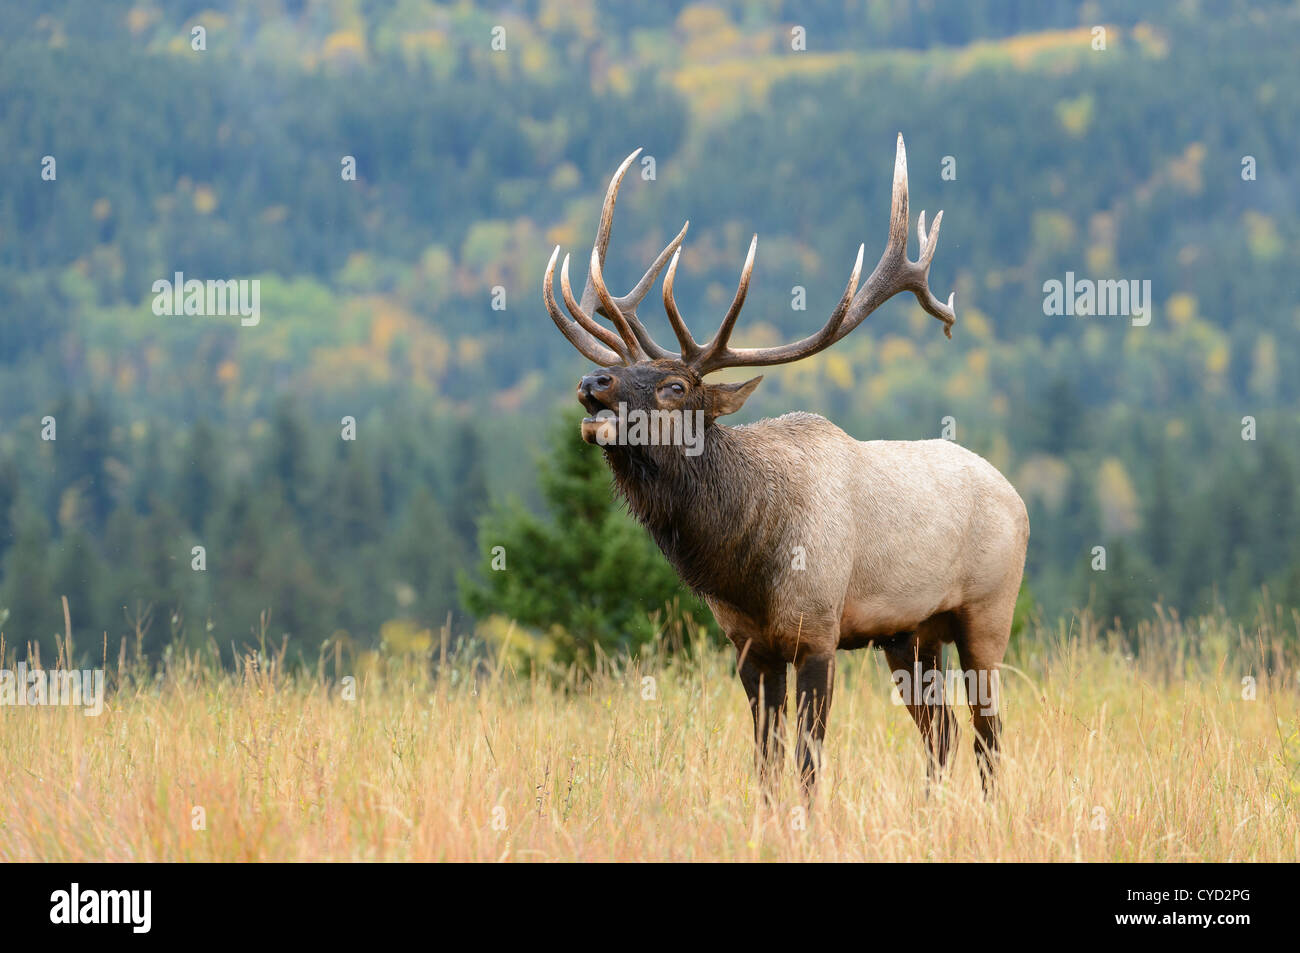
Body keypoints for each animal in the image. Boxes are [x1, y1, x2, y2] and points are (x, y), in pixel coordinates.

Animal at [541, 136, 1029, 799]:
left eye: (674, 386)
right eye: (621, 370)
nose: (592, 383)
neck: (745, 561)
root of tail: (1018, 497)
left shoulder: (817, 631)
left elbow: (806, 760)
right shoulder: (750, 645)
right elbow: (766, 760)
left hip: (987, 613)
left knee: (988, 733)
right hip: (912, 634)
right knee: (942, 732)